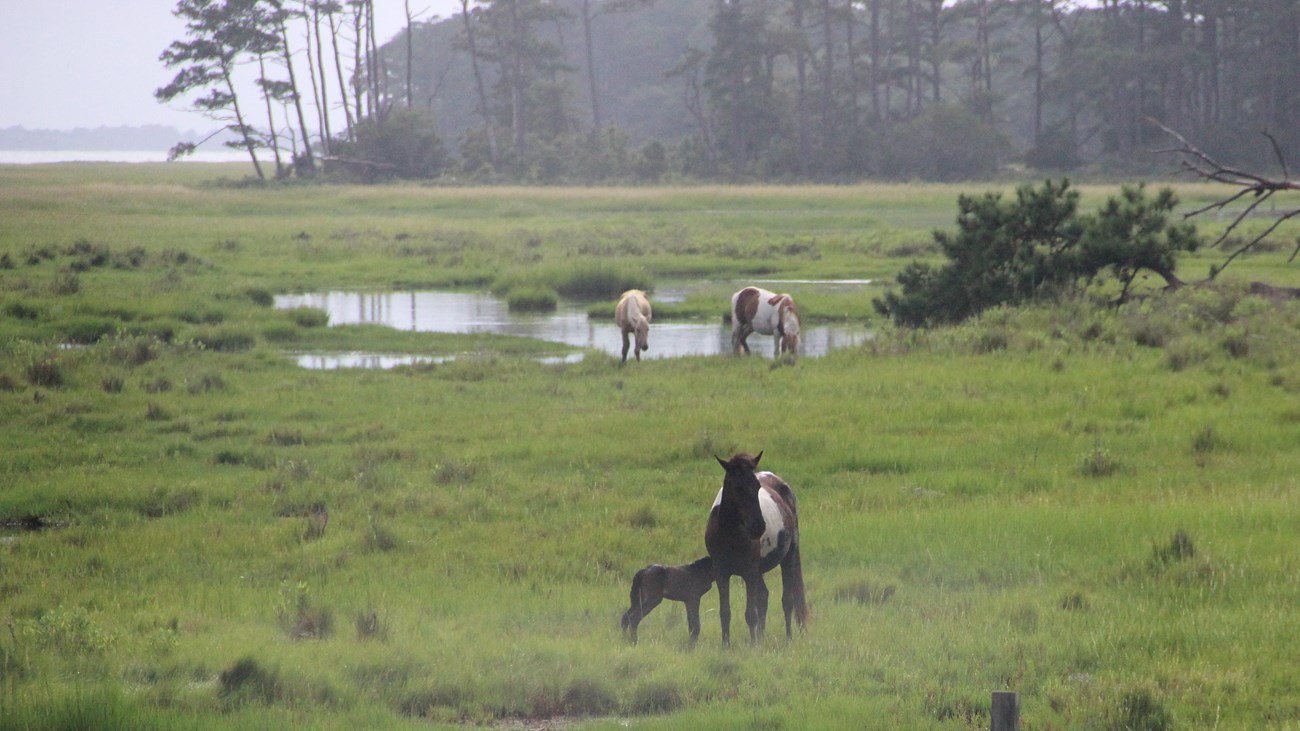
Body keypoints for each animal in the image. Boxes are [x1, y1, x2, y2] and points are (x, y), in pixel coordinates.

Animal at [705, 452, 808, 646]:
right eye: (737, 487)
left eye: (757, 486)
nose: (758, 526)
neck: (731, 534)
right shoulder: (721, 572)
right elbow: (725, 612)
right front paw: (726, 645)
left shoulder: (750, 573)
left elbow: (750, 614)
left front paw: (753, 646)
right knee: (764, 597)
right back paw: (762, 635)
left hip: (788, 558)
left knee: (787, 601)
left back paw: (788, 637)